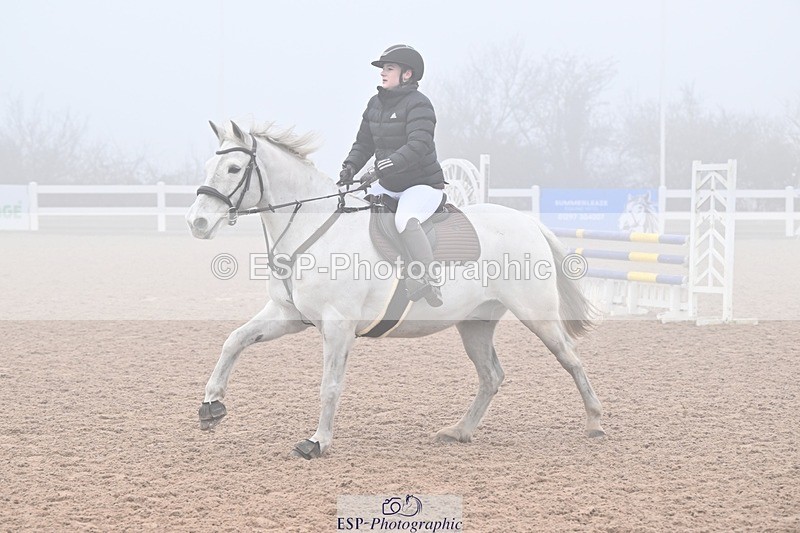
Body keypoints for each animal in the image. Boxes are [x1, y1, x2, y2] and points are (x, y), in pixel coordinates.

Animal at [185, 120, 605, 459]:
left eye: (234, 168)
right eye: (208, 167)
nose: (197, 223)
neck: (313, 228)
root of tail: (528, 222)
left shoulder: (337, 327)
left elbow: (330, 385)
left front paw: (318, 442)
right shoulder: (289, 315)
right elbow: (234, 340)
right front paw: (211, 407)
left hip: (538, 315)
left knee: (571, 359)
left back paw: (595, 423)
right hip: (474, 323)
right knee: (491, 376)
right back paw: (459, 431)